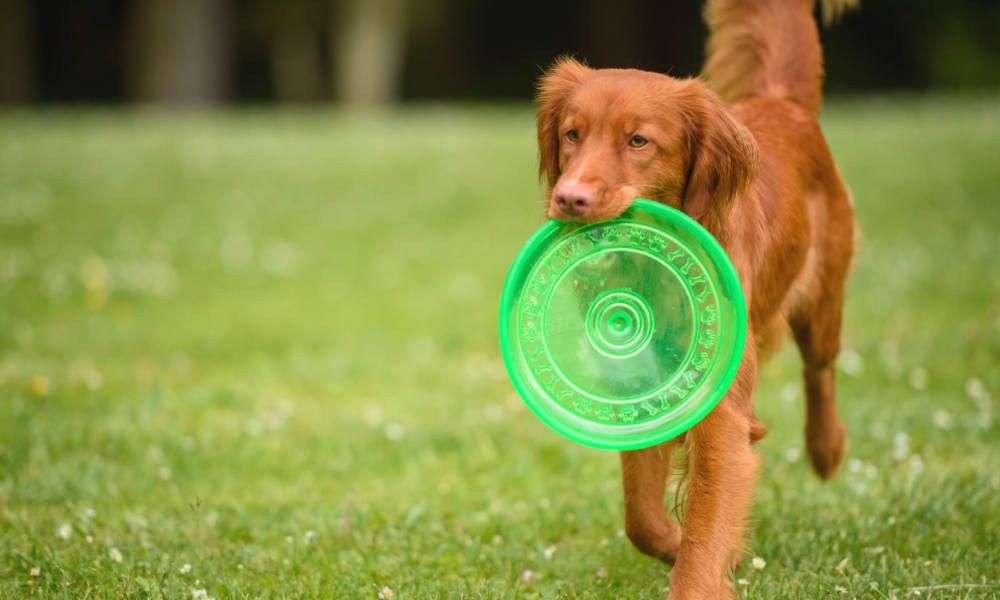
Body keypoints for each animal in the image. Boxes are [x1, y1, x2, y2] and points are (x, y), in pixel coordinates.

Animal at [536, 1, 856, 600]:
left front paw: (697, 567)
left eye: (638, 141)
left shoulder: (722, 413)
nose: (569, 197)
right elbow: (641, 514)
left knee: (820, 369)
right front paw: (672, 542)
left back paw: (826, 450)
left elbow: (706, 526)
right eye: (571, 134)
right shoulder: (641, 387)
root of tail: (780, 99)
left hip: (822, 298)